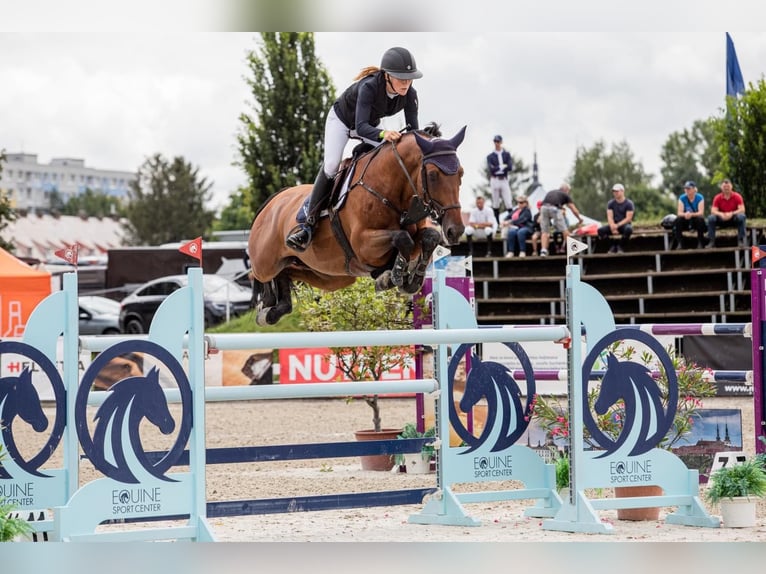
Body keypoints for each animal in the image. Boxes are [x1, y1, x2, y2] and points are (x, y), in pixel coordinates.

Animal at [250, 124, 468, 326]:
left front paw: (410, 280)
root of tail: (273, 201)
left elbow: (430, 237)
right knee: (259, 274)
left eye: (461, 174)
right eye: (432, 175)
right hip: (265, 263)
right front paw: (392, 276)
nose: (455, 230)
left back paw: (275, 309)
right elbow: (402, 238)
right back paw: (266, 305)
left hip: (330, 275)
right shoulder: (363, 244)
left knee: (288, 271)